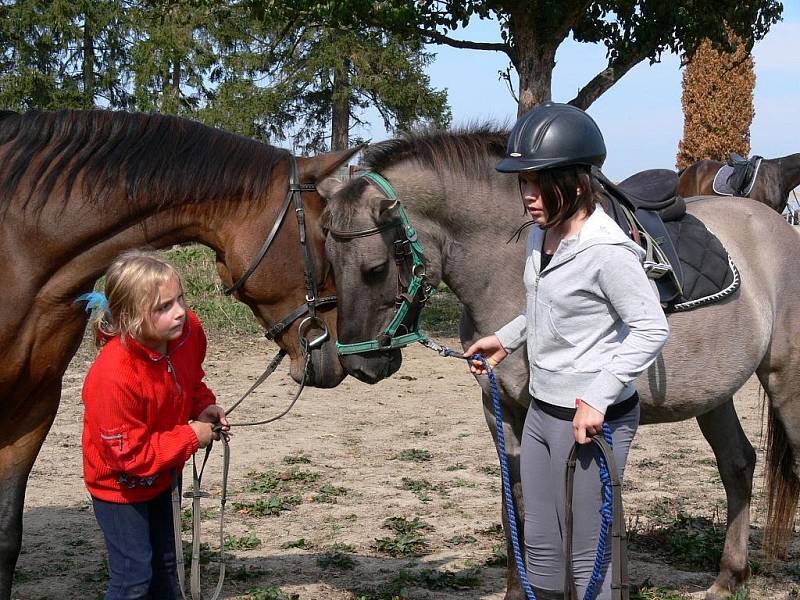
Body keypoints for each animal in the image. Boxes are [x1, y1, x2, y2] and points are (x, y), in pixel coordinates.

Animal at [318, 129, 800, 600]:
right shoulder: (502, 412)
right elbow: (516, 505)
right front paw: (519, 590)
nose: (359, 363)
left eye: (376, 268)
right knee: (737, 464)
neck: (506, 266)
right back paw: (729, 577)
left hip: (784, 383)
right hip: (714, 395)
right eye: (329, 264)